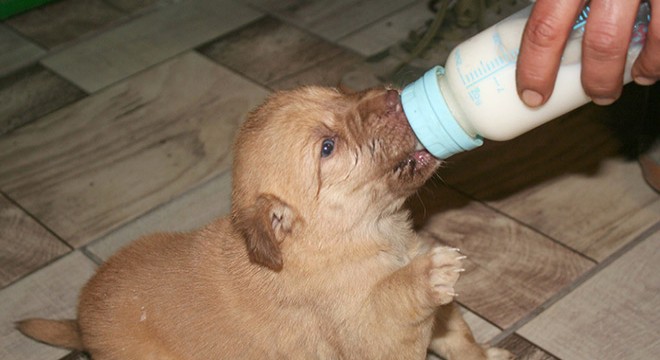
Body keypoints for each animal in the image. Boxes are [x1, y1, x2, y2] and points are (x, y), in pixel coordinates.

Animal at [14, 87, 510, 360]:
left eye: (340, 91)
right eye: (328, 147)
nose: (394, 95)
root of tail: (80, 322)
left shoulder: (441, 321)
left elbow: (459, 339)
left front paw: (486, 353)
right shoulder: (374, 339)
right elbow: (396, 299)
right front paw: (428, 273)